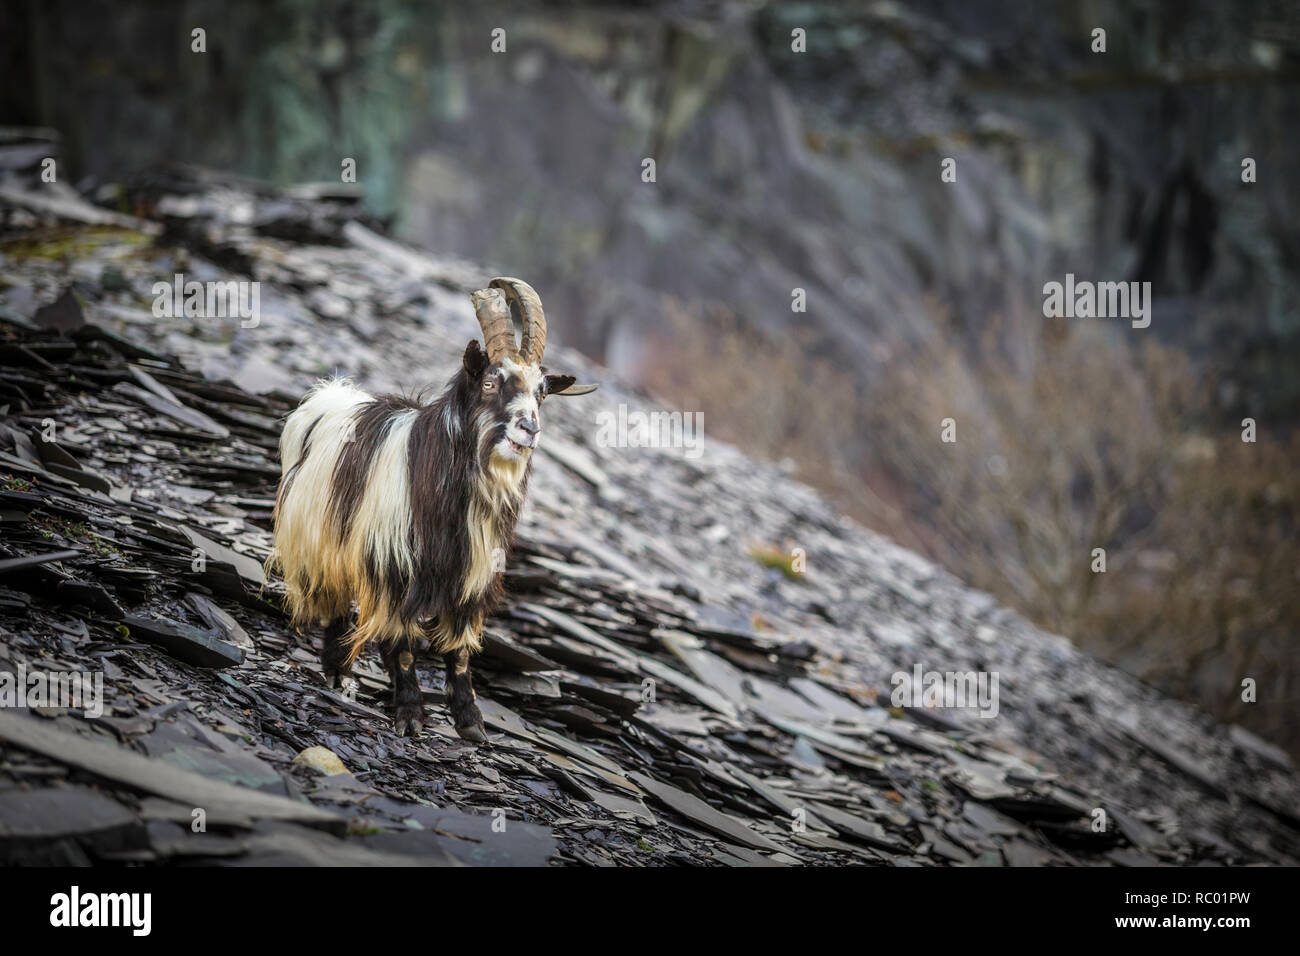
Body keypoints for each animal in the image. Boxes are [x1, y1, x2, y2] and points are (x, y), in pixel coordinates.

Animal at [268, 278, 596, 740]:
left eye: (542, 392)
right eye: (490, 383)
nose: (529, 428)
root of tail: (327, 400)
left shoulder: (471, 579)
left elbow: (458, 653)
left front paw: (471, 723)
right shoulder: (393, 567)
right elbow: (403, 647)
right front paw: (410, 716)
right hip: (320, 543)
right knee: (335, 604)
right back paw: (338, 673)